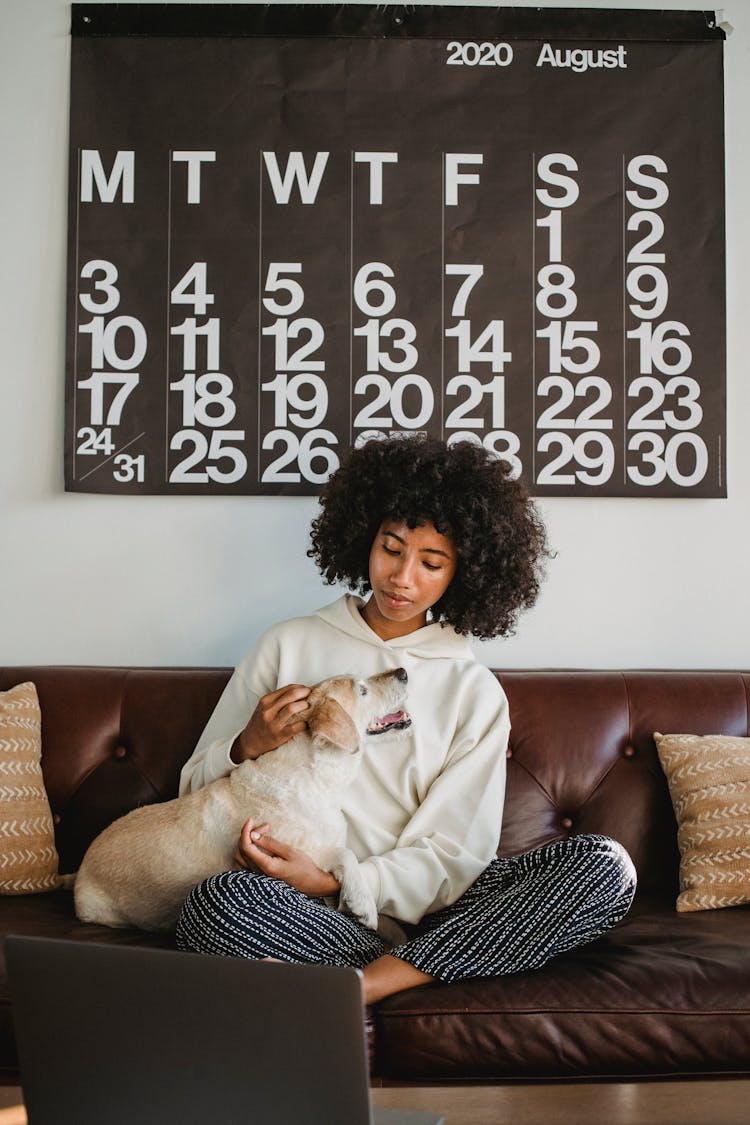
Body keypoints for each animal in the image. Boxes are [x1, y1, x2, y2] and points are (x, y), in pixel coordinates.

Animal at [71, 666, 411, 931]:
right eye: (362, 690)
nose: (403, 672)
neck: (317, 776)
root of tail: (79, 872)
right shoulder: (289, 849)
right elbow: (345, 854)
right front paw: (363, 903)